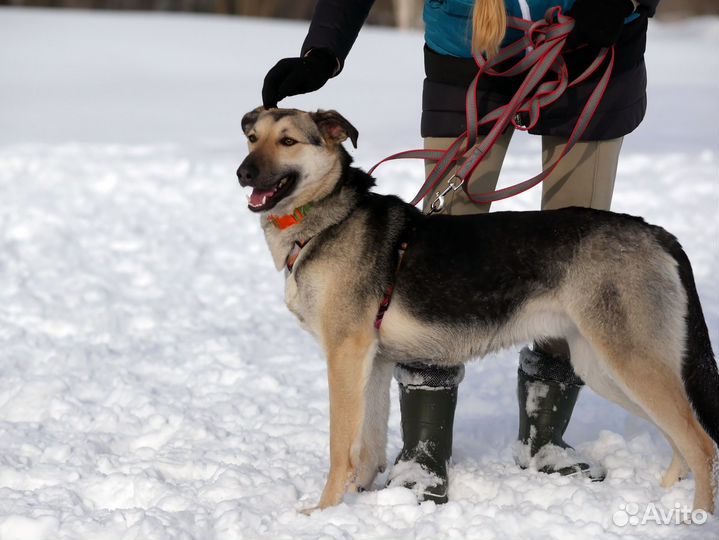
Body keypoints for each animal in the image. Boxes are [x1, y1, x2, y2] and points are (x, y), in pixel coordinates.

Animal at [238, 106, 719, 516]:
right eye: (251, 138)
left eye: (287, 141)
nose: (243, 173)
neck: (327, 219)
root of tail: (655, 232)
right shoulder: (371, 362)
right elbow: (369, 447)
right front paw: (360, 501)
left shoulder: (344, 356)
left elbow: (341, 447)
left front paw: (324, 512)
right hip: (606, 369)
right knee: (682, 441)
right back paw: (663, 501)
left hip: (631, 363)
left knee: (702, 445)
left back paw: (695, 519)